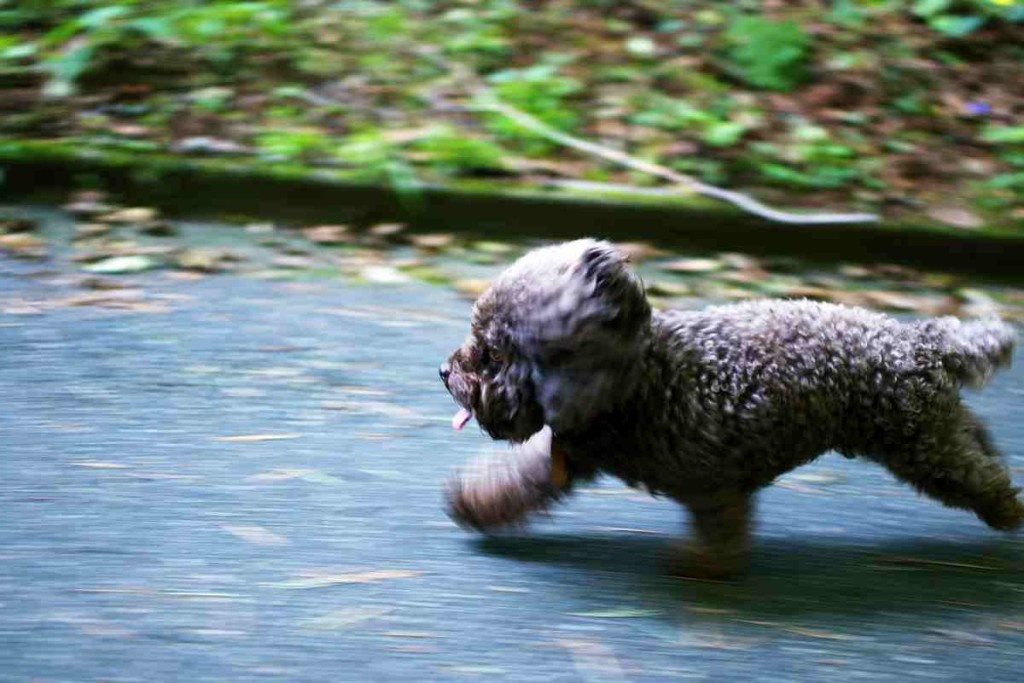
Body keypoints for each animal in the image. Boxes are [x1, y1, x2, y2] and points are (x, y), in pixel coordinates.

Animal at [438, 239, 1015, 577]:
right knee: (978, 440)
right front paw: (474, 503)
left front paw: (701, 564)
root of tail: (921, 340)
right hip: (932, 426)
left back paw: (1008, 510)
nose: (445, 372)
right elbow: (520, 482)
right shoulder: (571, 454)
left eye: (493, 354)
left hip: (919, 445)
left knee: (976, 476)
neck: (635, 381)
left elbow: (722, 533)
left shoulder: (712, 483)